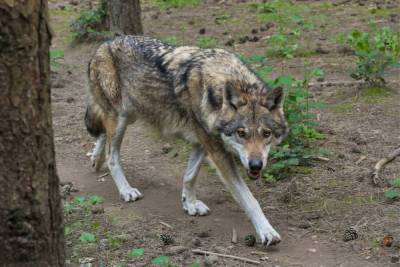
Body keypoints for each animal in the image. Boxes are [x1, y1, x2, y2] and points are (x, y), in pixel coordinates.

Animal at [86, 35, 290, 247]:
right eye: (241, 133)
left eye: (266, 133)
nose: (256, 165)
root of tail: (104, 44)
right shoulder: (217, 152)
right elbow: (250, 200)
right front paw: (266, 231)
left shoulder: (202, 142)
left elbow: (190, 176)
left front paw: (189, 204)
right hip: (120, 118)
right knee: (111, 155)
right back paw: (126, 190)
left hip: (131, 115)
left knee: (102, 134)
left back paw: (95, 158)